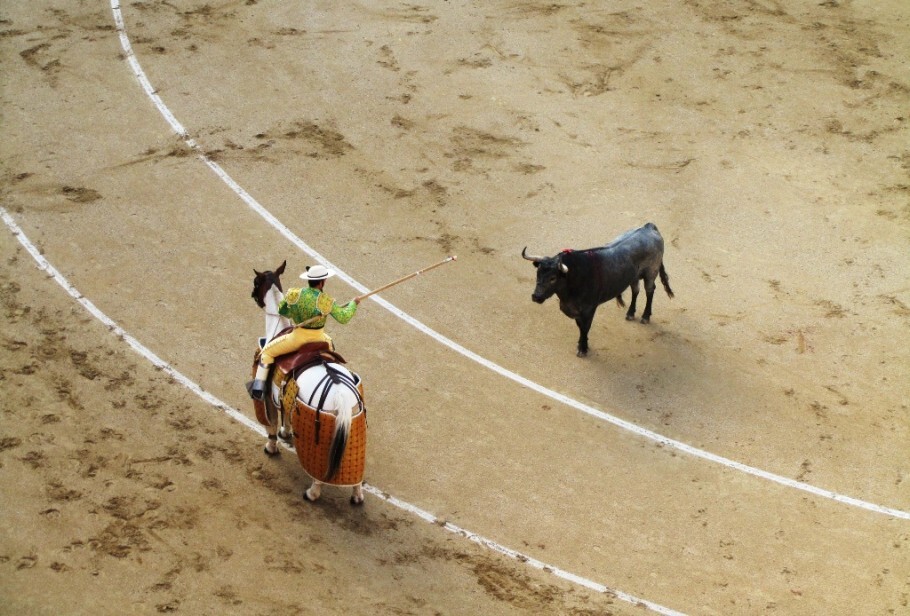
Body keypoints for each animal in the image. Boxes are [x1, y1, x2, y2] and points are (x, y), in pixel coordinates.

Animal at [249, 262, 366, 506]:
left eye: (256, 282)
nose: (253, 296)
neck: (278, 329)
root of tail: (338, 389)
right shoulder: (286, 397)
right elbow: (285, 415)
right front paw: (286, 432)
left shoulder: (267, 397)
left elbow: (271, 423)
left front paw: (271, 447)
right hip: (352, 421)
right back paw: (357, 496)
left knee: (320, 475)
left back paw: (312, 493)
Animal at [524, 221, 672, 356]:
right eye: (538, 273)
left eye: (553, 278)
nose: (536, 296)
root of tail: (649, 226)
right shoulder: (577, 311)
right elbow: (580, 327)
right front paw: (581, 344)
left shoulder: (589, 309)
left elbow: (585, 328)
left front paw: (583, 349)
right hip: (634, 276)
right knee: (635, 290)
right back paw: (630, 313)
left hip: (651, 272)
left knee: (650, 290)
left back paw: (645, 316)